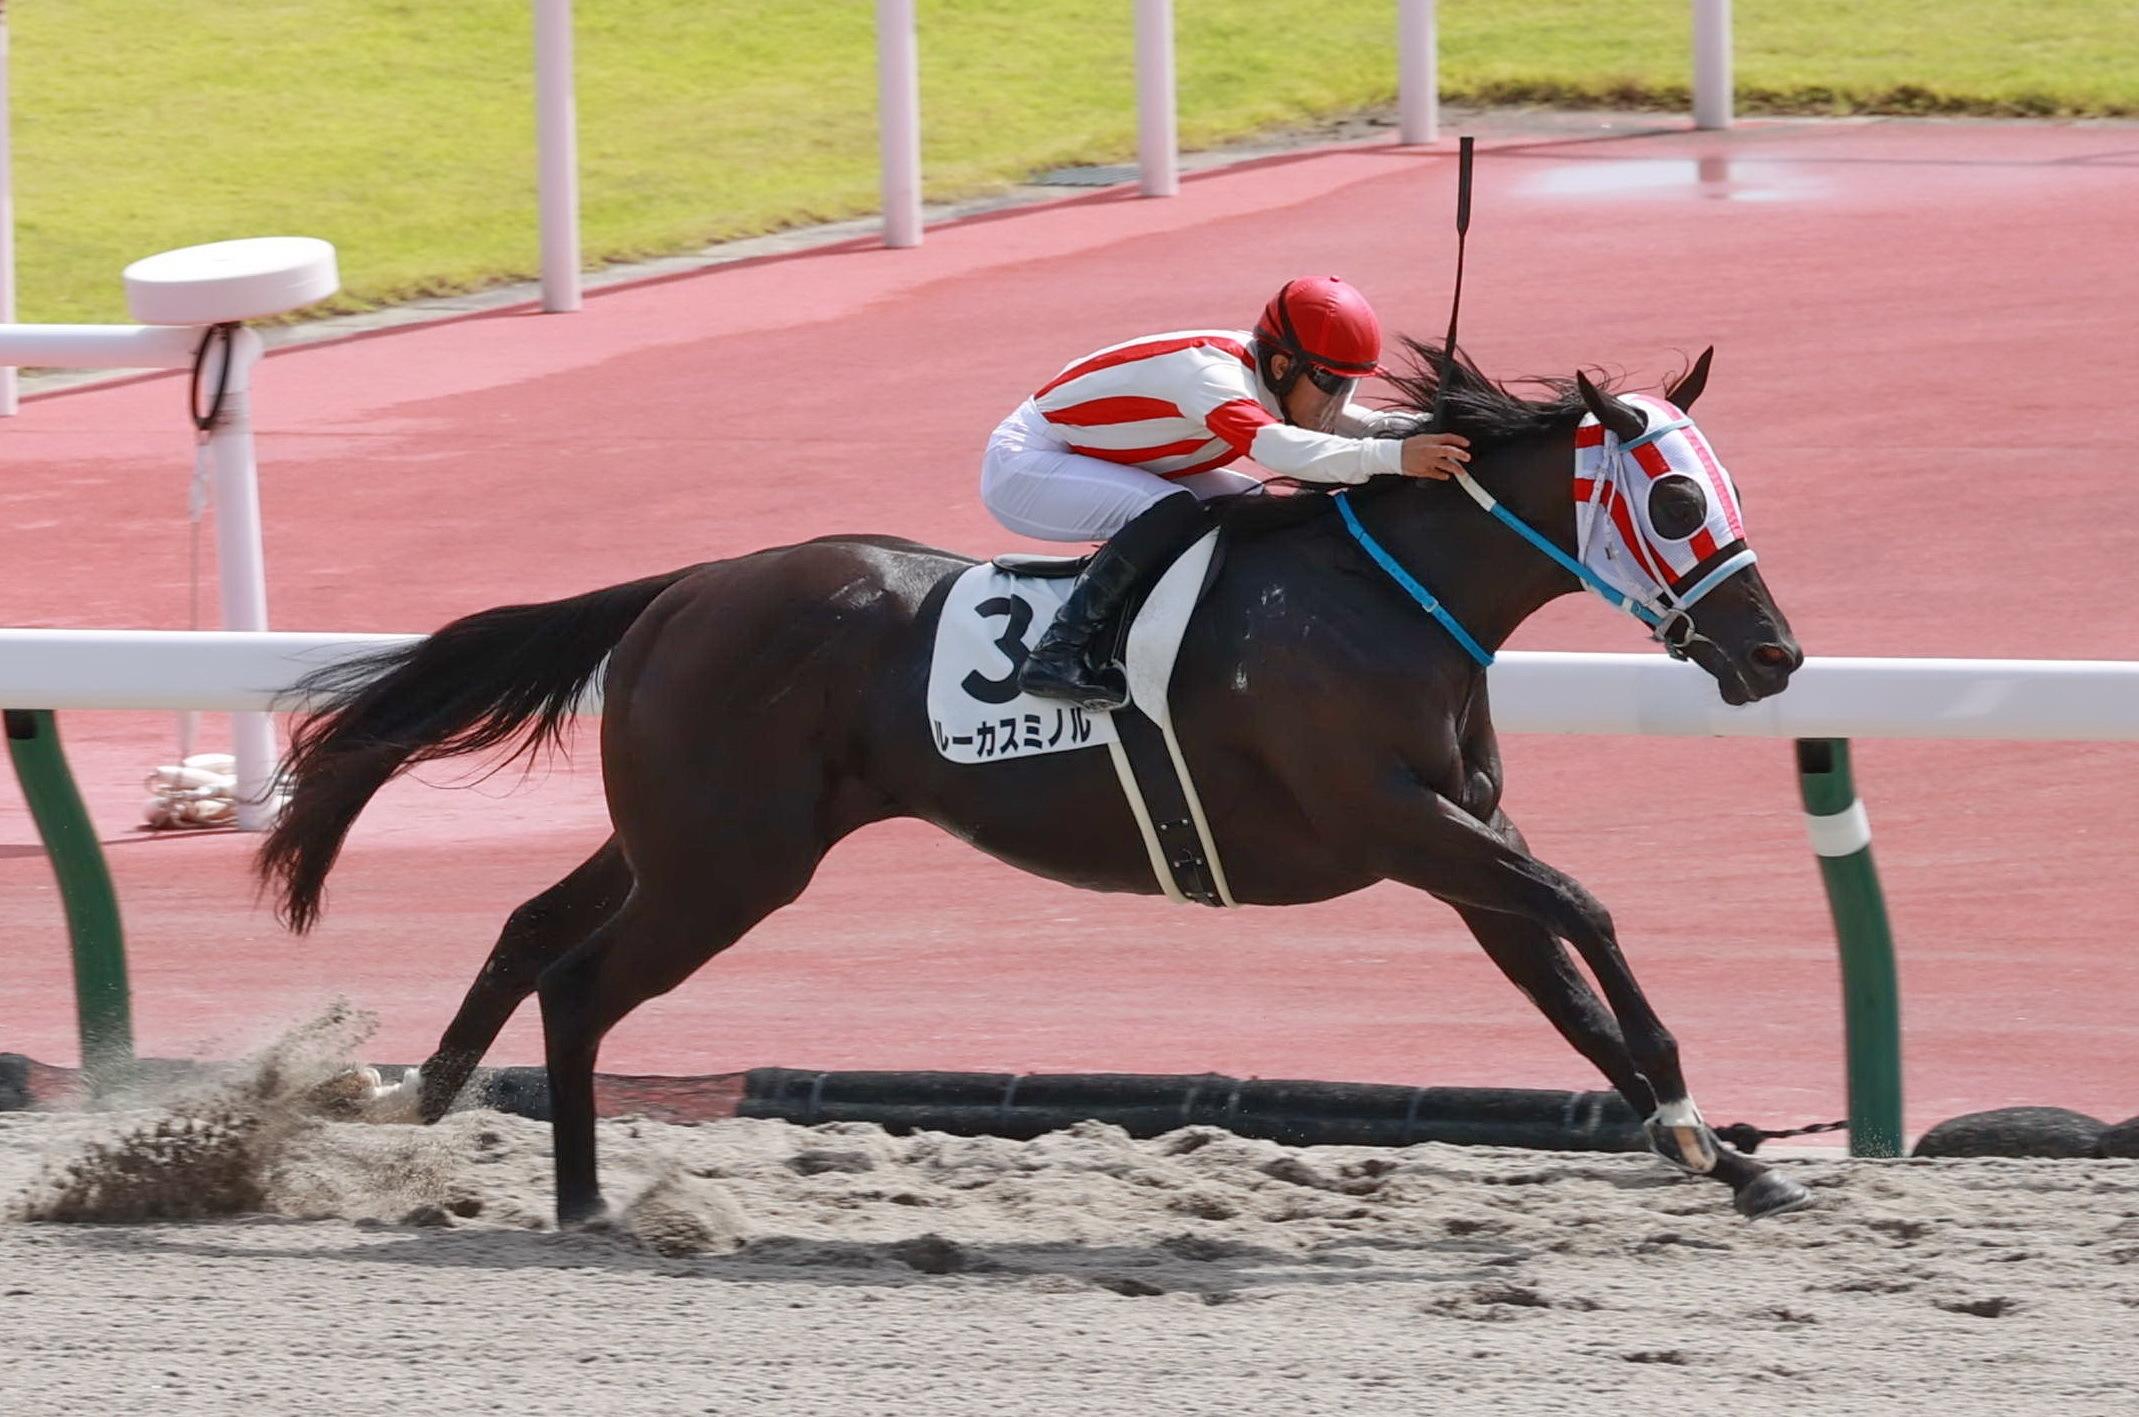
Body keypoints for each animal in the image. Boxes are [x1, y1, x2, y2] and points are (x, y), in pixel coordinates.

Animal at [258, 342, 1813, 1224]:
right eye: (1677, 500)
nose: (1774, 652)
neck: (1390, 599)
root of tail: (683, 589)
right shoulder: (1399, 823)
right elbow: (1589, 911)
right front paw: (1694, 1117)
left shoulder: (1459, 840)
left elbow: (1567, 997)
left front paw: (1733, 1161)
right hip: (728, 867)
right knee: (580, 980)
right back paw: (584, 1204)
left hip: (683, 837)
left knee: (531, 927)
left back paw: (418, 1104)